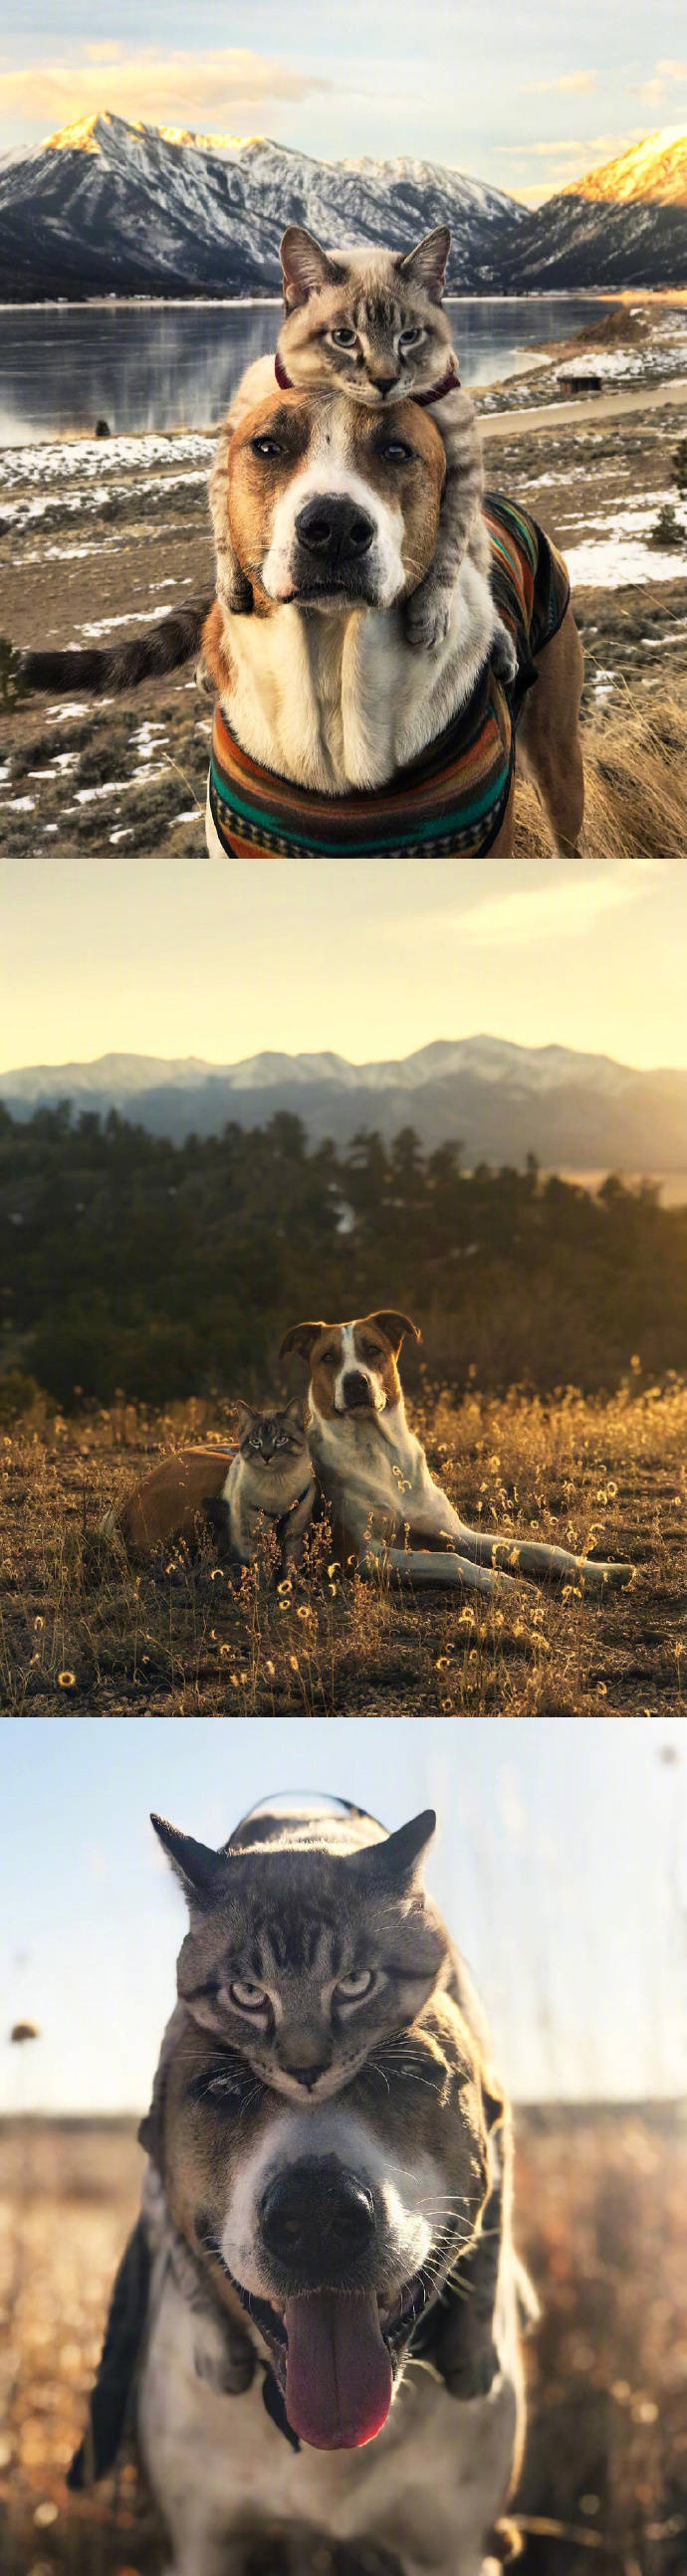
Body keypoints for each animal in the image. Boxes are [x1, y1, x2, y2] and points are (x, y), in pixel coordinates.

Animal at [207, 1401, 318, 1576]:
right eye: (255, 1441)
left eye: (280, 1439)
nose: (266, 1456)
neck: (277, 1483)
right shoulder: (257, 1535)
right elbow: (263, 1568)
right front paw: (266, 1582)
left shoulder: (294, 1532)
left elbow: (291, 1564)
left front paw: (290, 1583)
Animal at [280, 1308, 635, 1586]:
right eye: (328, 1357)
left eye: (373, 1349)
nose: (355, 1381)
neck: (380, 1451)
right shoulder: (365, 1555)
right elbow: (450, 1561)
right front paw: (504, 1583)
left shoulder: (456, 1534)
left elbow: (537, 1548)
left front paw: (601, 1570)